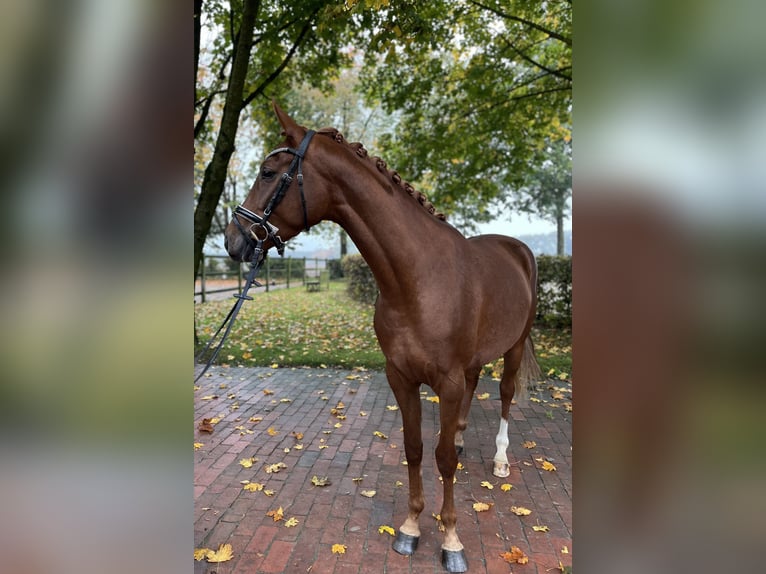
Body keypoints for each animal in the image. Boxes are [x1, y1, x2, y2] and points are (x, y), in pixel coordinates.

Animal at [225, 102, 544, 572]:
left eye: (268, 172)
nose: (233, 241)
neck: (419, 278)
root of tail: (518, 249)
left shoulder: (445, 381)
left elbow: (442, 459)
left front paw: (451, 540)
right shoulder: (401, 377)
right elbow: (414, 448)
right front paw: (410, 528)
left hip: (515, 346)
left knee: (504, 395)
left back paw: (501, 460)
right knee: (473, 391)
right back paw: (462, 437)